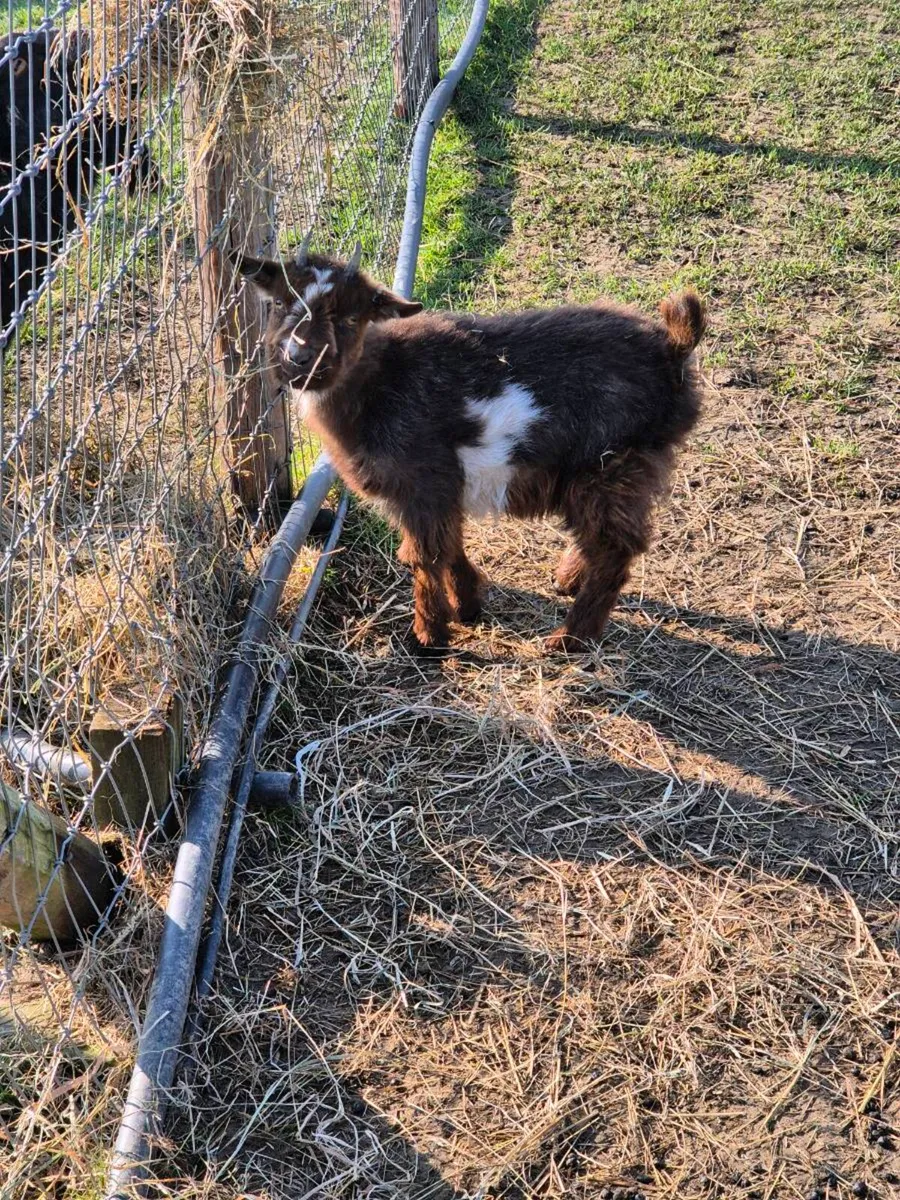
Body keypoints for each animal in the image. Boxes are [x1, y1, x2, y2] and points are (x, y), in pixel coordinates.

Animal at [234, 243, 706, 653]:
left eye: (351, 318)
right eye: (280, 304)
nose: (299, 360)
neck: (378, 385)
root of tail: (673, 350)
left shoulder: (423, 481)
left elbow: (424, 556)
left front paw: (429, 636)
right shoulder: (441, 487)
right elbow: (449, 544)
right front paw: (467, 605)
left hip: (613, 466)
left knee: (614, 549)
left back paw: (570, 638)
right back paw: (568, 580)